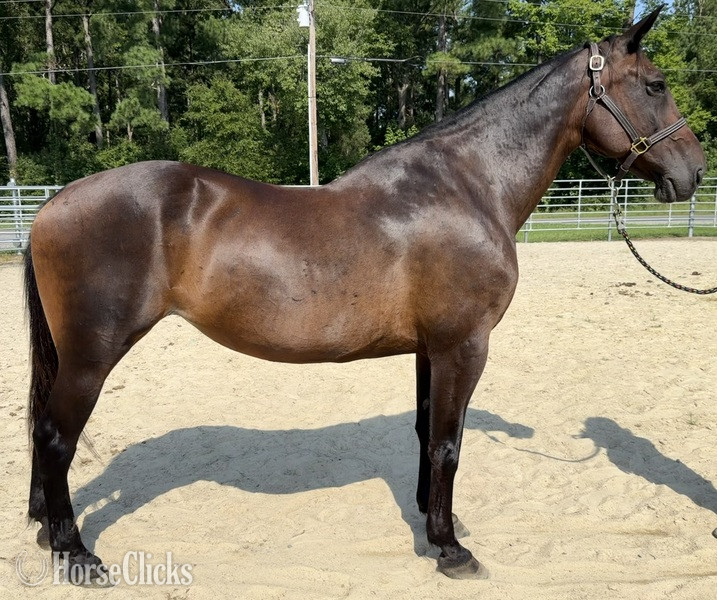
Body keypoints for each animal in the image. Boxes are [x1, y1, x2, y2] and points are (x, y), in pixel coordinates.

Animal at [23, 8, 704, 580]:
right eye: (654, 84)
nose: (693, 172)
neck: (467, 186)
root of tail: (51, 207)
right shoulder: (464, 346)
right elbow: (449, 443)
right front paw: (451, 551)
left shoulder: (431, 349)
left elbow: (428, 433)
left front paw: (435, 522)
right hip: (92, 355)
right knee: (57, 437)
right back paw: (74, 553)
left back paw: (45, 531)